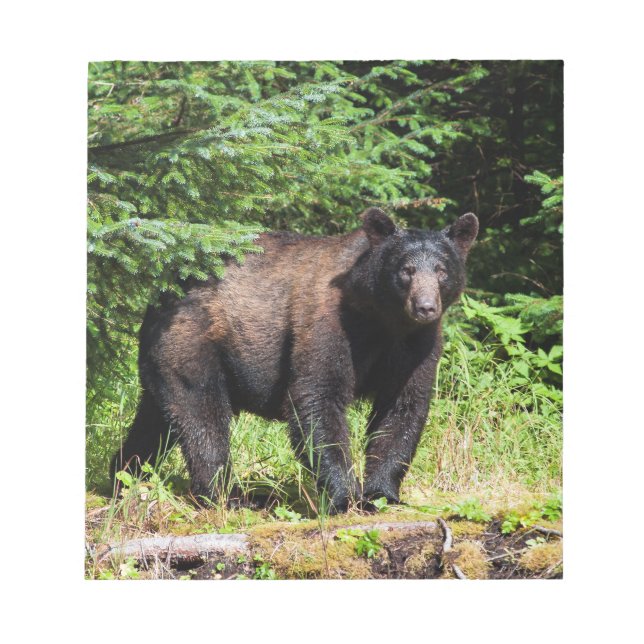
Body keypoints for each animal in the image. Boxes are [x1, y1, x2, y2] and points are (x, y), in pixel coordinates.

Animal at [112, 208, 478, 513]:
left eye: (442, 270)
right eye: (406, 270)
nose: (425, 307)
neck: (383, 320)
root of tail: (160, 294)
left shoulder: (416, 346)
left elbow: (402, 407)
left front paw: (381, 494)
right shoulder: (329, 323)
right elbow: (317, 397)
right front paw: (344, 497)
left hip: (165, 359)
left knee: (156, 419)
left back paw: (124, 474)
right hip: (193, 342)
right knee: (202, 415)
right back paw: (230, 496)